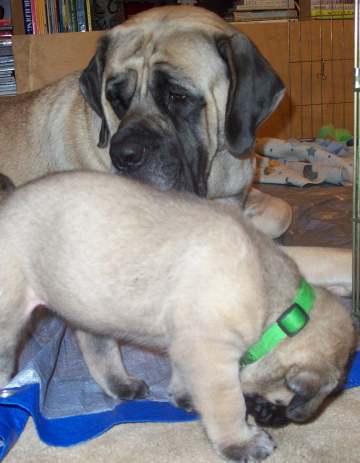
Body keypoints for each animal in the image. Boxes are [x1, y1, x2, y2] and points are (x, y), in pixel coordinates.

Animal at [0, 172, 354, 462]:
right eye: (289, 399)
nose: (284, 419)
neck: (275, 308)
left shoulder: (190, 347)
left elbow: (184, 376)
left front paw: (184, 396)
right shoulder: (211, 356)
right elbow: (228, 406)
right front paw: (242, 443)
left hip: (89, 307)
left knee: (96, 348)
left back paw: (121, 384)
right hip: (10, 322)